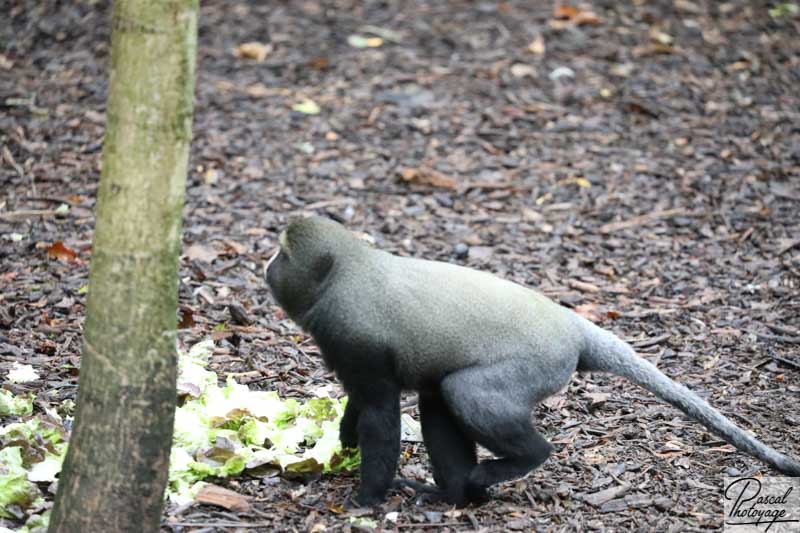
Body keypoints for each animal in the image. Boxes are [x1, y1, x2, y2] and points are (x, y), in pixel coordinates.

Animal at [264, 214, 800, 504]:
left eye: (282, 253)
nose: (267, 265)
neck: (346, 272)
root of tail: (571, 326)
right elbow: (361, 403)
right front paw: (344, 444)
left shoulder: (354, 334)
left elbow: (379, 413)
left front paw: (366, 500)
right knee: (439, 397)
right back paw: (455, 495)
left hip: (537, 367)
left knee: (466, 393)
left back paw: (521, 461)